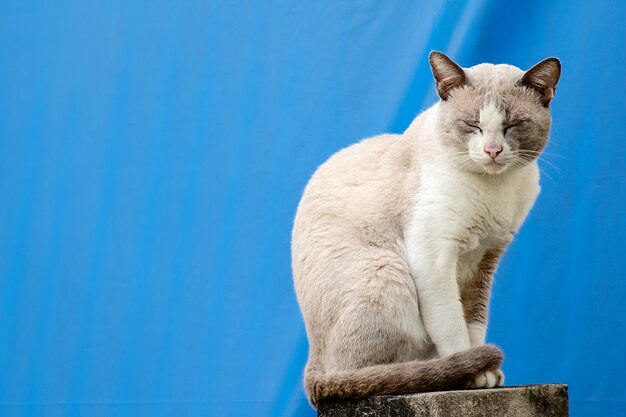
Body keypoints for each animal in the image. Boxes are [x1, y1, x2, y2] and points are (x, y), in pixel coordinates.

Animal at [290, 49, 560, 406]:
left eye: (512, 125)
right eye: (472, 125)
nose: (492, 151)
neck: (494, 189)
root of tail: (312, 358)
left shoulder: (484, 260)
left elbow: (474, 323)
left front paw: (484, 373)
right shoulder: (434, 258)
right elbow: (452, 325)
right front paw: (473, 374)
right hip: (385, 271)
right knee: (365, 374)